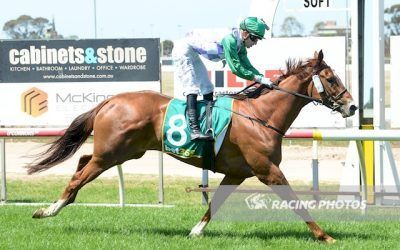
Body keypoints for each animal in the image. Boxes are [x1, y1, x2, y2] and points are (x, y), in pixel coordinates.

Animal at [29, 50, 358, 242]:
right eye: (330, 78)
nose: (352, 106)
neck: (261, 116)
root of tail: (110, 100)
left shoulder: (237, 173)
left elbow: (216, 203)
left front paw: (195, 231)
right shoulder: (268, 170)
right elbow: (296, 201)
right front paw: (324, 236)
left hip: (121, 152)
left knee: (82, 161)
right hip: (111, 153)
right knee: (79, 176)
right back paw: (49, 210)